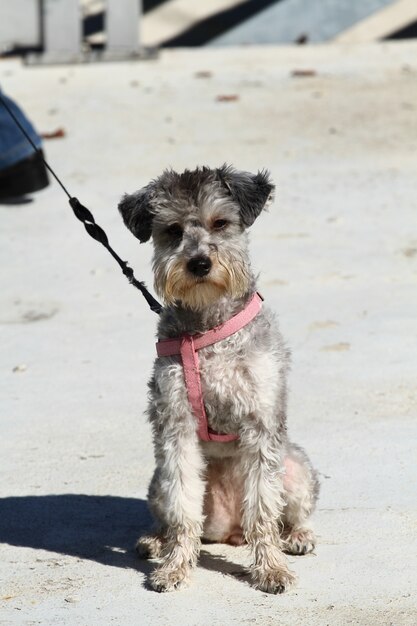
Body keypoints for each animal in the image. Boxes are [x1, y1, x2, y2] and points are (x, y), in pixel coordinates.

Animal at [117, 163, 318, 592]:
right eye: (172, 230)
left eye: (220, 223)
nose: (199, 263)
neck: (210, 327)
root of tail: (230, 532)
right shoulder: (175, 426)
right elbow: (183, 509)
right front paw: (175, 567)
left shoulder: (261, 424)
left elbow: (264, 510)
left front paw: (271, 569)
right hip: (157, 481)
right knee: (171, 515)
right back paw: (156, 541)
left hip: (294, 466)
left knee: (289, 513)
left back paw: (297, 536)